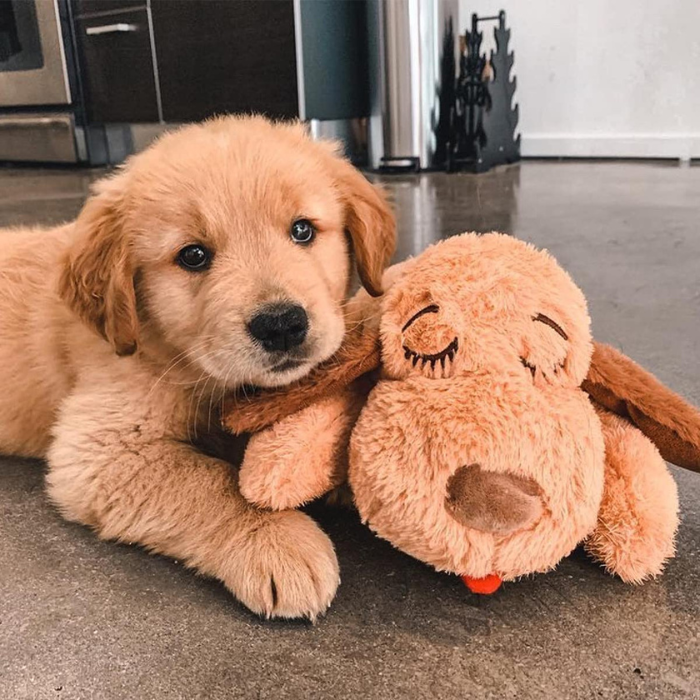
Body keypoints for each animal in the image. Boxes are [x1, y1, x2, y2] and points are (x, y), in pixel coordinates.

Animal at [0, 115, 394, 616]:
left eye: (303, 230)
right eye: (193, 255)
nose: (281, 325)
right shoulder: (96, 450)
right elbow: (209, 481)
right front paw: (276, 538)